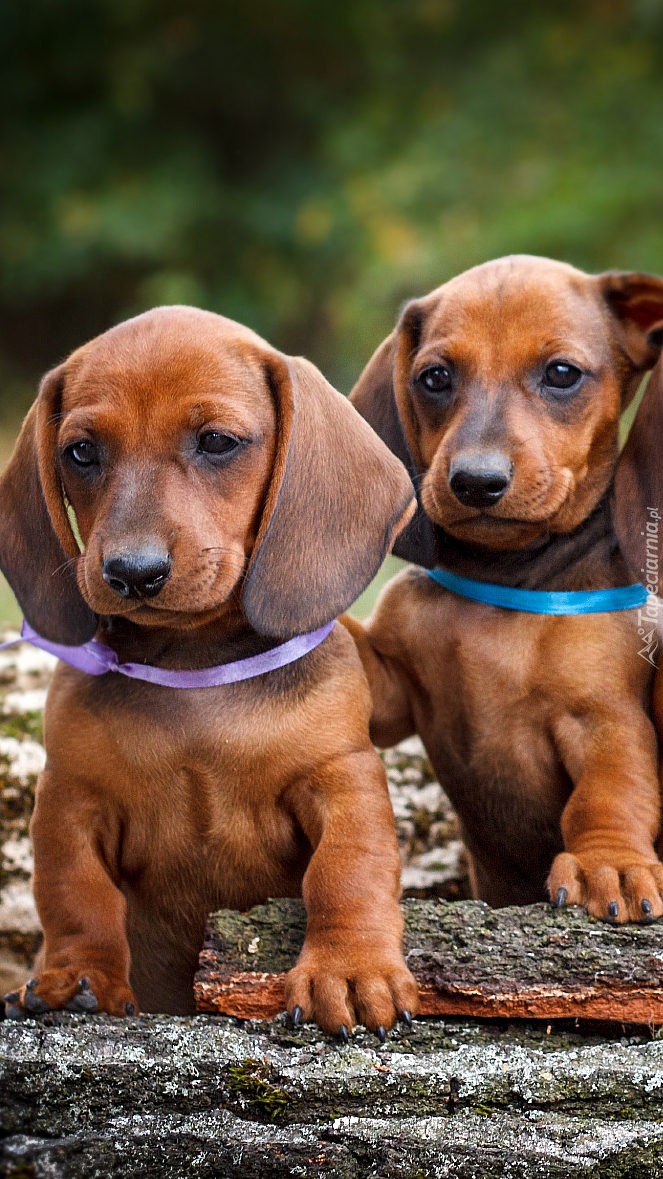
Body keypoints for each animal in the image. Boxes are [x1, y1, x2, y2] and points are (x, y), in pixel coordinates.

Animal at [0, 305, 419, 1035]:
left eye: (218, 442)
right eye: (80, 451)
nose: (133, 572)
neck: (194, 673)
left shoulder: (341, 777)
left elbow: (347, 870)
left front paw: (348, 968)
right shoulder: (70, 799)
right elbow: (75, 893)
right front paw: (77, 975)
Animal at [343, 255, 663, 923]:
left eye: (562, 374)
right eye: (435, 377)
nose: (476, 481)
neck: (503, 580)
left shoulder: (606, 717)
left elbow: (610, 792)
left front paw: (611, 863)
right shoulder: (391, 686)